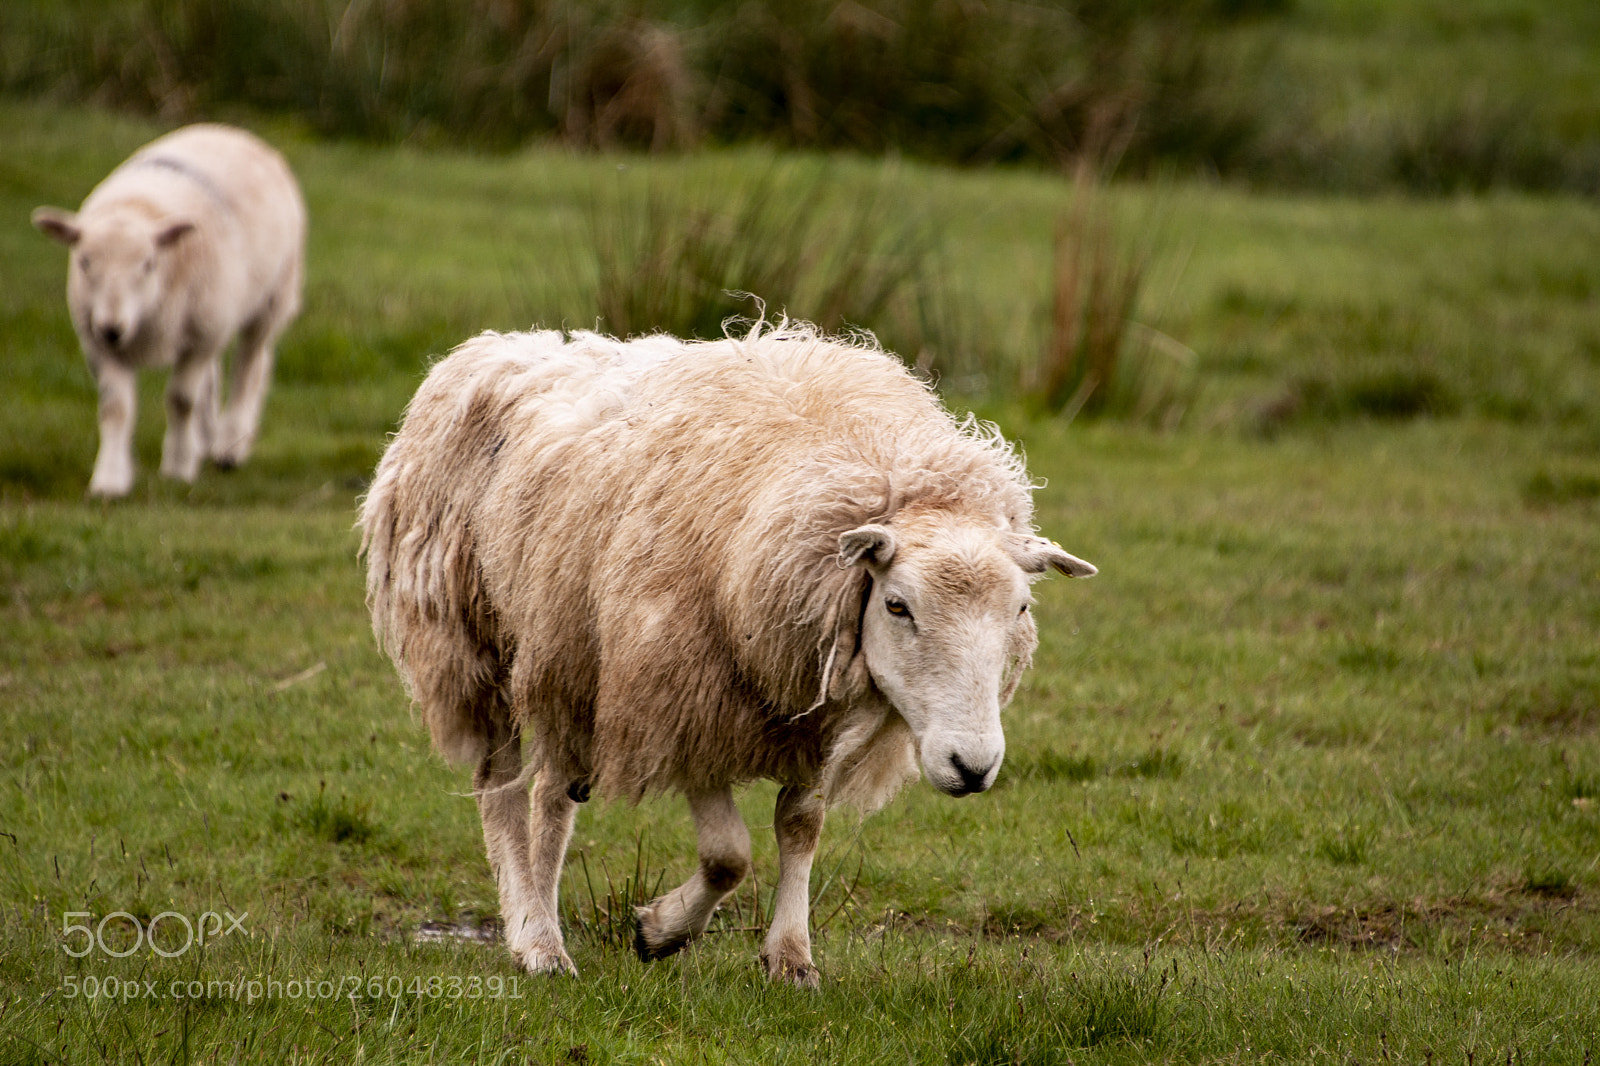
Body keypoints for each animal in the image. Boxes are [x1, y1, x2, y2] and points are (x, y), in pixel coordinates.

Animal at [32, 123, 306, 497]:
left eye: (148, 264)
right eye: (85, 262)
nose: (112, 328)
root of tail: (227, 130)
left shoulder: (200, 337)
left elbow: (180, 399)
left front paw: (177, 466)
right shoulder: (97, 342)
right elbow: (115, 408)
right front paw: (110, 479)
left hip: (267, 298)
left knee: (248, 367)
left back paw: (229, 445)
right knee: (214, 376)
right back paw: (204, 440)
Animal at [360, 323, 1096, 986]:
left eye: (1020, 609)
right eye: (896, 606)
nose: (972, 767)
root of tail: (487, 348)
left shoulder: (811, 712)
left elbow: (801, 826)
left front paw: (790, 958)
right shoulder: (684, 690)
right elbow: (727, 855)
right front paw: (659, 930)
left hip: (570, 660)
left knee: (552, 797)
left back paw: (544, 913)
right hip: (473, 647)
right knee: (503, 789)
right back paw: (536, 943)